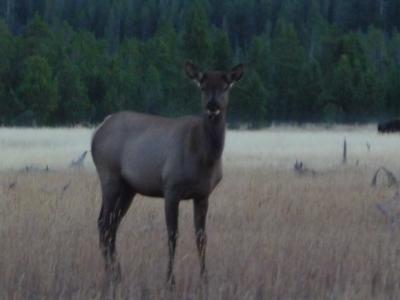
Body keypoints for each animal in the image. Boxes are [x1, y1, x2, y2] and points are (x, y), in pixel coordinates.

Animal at [91, 60, 244, 286]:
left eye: (226, 86)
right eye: (202, 86)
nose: (212, 106)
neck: (204, 157)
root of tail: (98, 129)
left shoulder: (203, 194)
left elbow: (201, 237)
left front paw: (205, 279)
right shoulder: (171, 189)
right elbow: (172, 235)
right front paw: (170, 281)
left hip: (129, 188)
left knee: (112, 226)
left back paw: (117, 274)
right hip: (109, 175)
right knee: (103, 223)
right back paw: (112, 275)